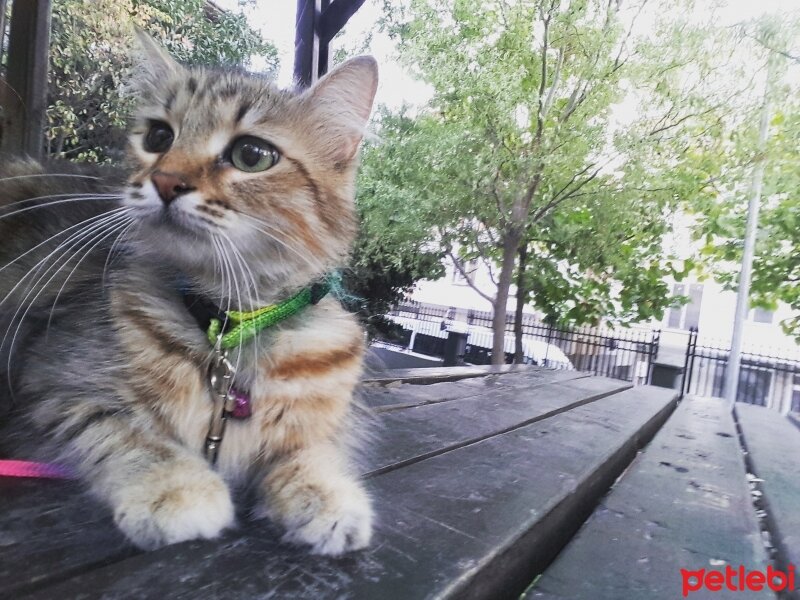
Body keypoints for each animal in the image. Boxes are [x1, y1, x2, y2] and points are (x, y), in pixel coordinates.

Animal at [0, 34, 378, 556]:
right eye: (159, 138)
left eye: (252, 155)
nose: (164, 181)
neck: (230, 325)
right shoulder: (52, 387)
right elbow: (131, 435)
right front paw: (178, 488)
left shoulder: (322, 420)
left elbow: (312, 452)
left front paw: (326, 494)